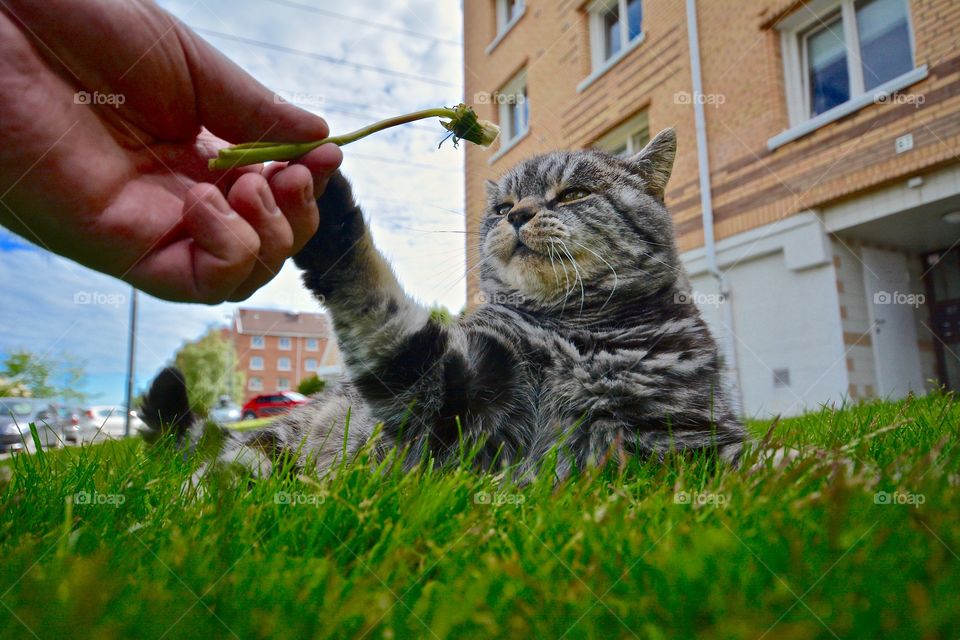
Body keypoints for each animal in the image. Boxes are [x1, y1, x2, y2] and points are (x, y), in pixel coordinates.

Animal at [141, 129, 744, 480]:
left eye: (574, 194)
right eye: (501, 205)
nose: (516, 215)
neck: (573, 329)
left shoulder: (685, 441)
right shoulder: (447, 396)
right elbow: (376, 300)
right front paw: (319, 190)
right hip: (272, 445)